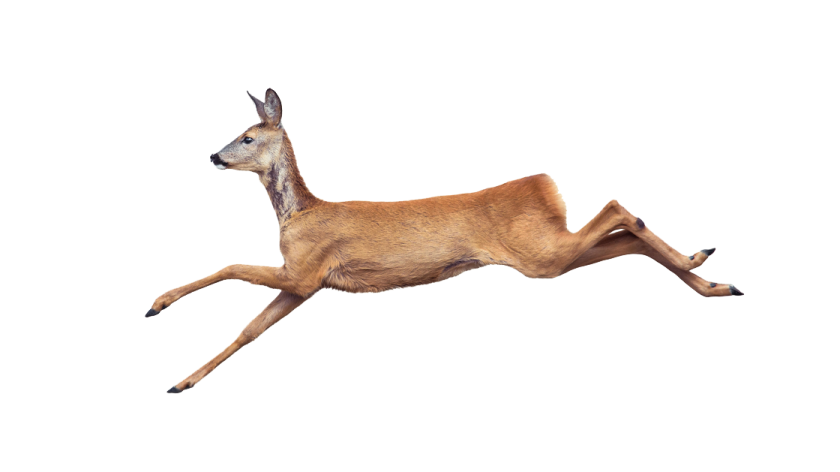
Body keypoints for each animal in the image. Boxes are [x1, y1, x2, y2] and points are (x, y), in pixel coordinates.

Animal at [146, 87, 744, 394]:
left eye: (247, 136)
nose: (214, 155)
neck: (299, 212)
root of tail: (542, 185)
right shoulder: (304, 285)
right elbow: (248, 332)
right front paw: (184, 382)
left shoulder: (306, 270)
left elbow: (230, 267)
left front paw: (157, 305)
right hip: (546, 251)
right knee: (624, 238)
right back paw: (712, 275)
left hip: (536, 252)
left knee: (620, 210)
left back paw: (703, 263)